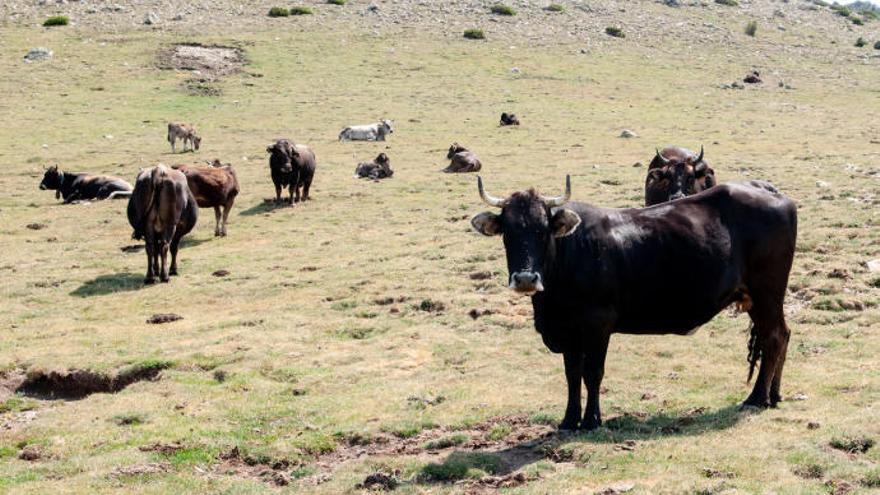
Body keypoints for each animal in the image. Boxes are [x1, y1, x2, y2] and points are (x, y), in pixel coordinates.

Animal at [474, 175, 796, 430]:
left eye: (543, 230)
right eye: (508, 232)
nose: (525, 278)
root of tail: (767, 190)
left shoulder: (598, 325)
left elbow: (592, 373)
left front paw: (591, 421)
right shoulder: (568, 332)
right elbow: (572, 375)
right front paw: (569, 420)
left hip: (767, 292)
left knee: (774, 337)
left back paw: (756, 398)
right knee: (782, 335)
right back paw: (774, 395)